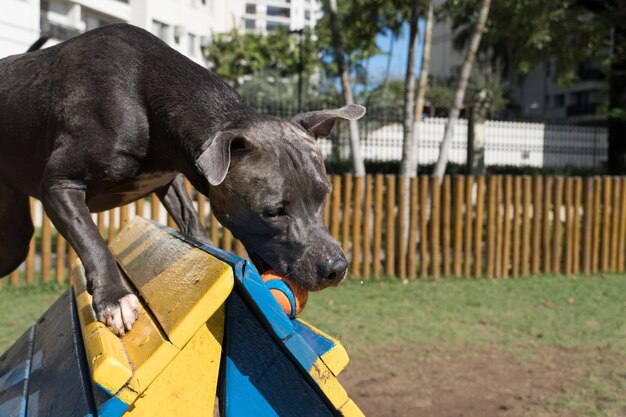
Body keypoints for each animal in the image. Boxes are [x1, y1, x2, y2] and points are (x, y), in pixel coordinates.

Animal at [0, 23, 366, 334]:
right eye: (274, 211)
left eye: (324, 195)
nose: (336, 267)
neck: (144, 95)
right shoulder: (59, 185)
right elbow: (92, 240)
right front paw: (114, 299)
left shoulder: (168, 180)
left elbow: (190, 218)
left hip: (15, 238)